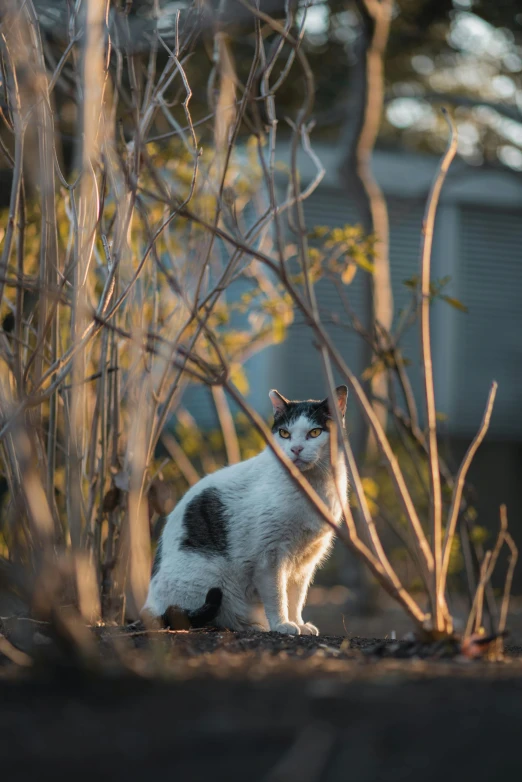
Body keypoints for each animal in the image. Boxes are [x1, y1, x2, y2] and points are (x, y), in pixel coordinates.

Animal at [142, 386, 348, 636]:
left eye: (315, 432)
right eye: (284, 434)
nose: (295, 449)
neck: (312, 488)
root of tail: (149, 608)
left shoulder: (305, 561)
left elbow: (296, 597)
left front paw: (298, 623)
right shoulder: (269, 557)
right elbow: (278, 595)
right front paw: (282, 625)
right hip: (209, 578)